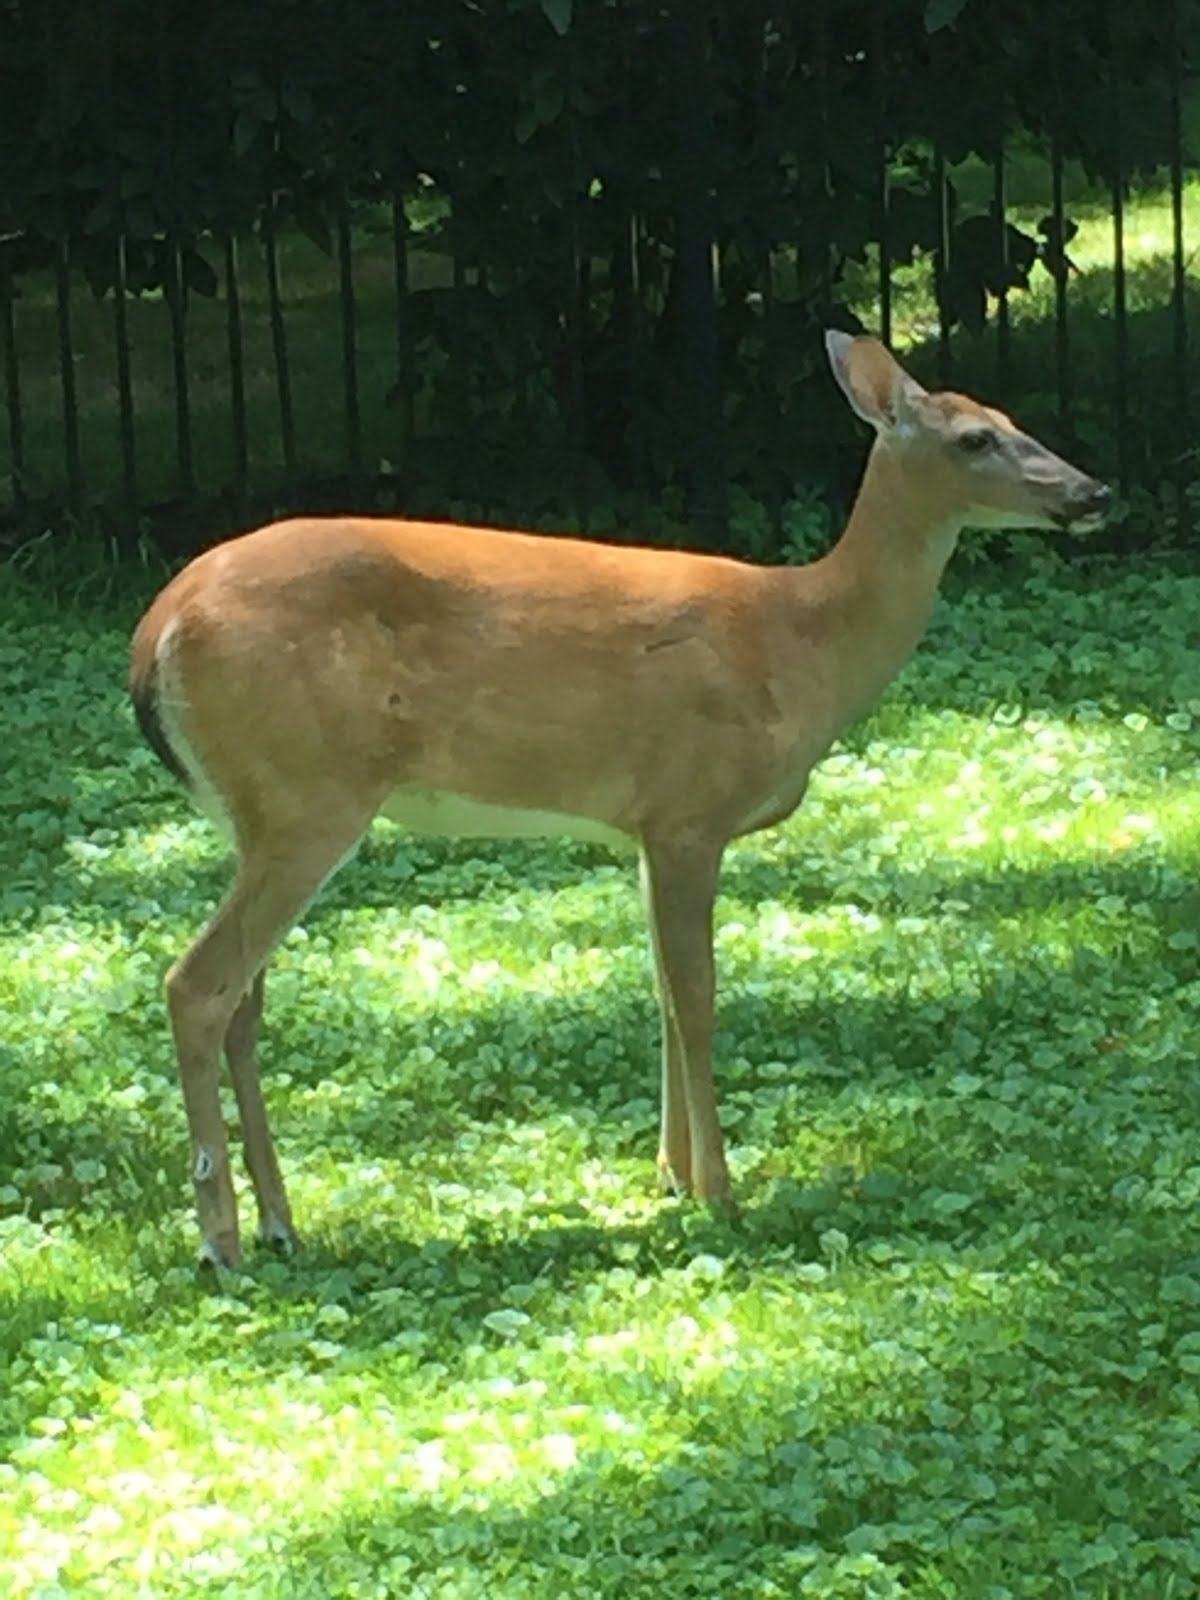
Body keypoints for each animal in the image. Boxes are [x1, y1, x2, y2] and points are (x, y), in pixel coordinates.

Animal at [129, 331, 1109, 1268]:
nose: (1093, 491)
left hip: (260, 811)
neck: (800, 642)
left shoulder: (643, 829)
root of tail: (157, 632)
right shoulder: (688, 811)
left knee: (244, 1003)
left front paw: (670, 1176)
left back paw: (281, 1224)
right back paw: (221, 1239)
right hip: (310, 798)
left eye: (1009, 416)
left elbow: (662, 994)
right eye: (974, 438)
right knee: (197, 986)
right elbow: (698, 994)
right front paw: (720, 1191)